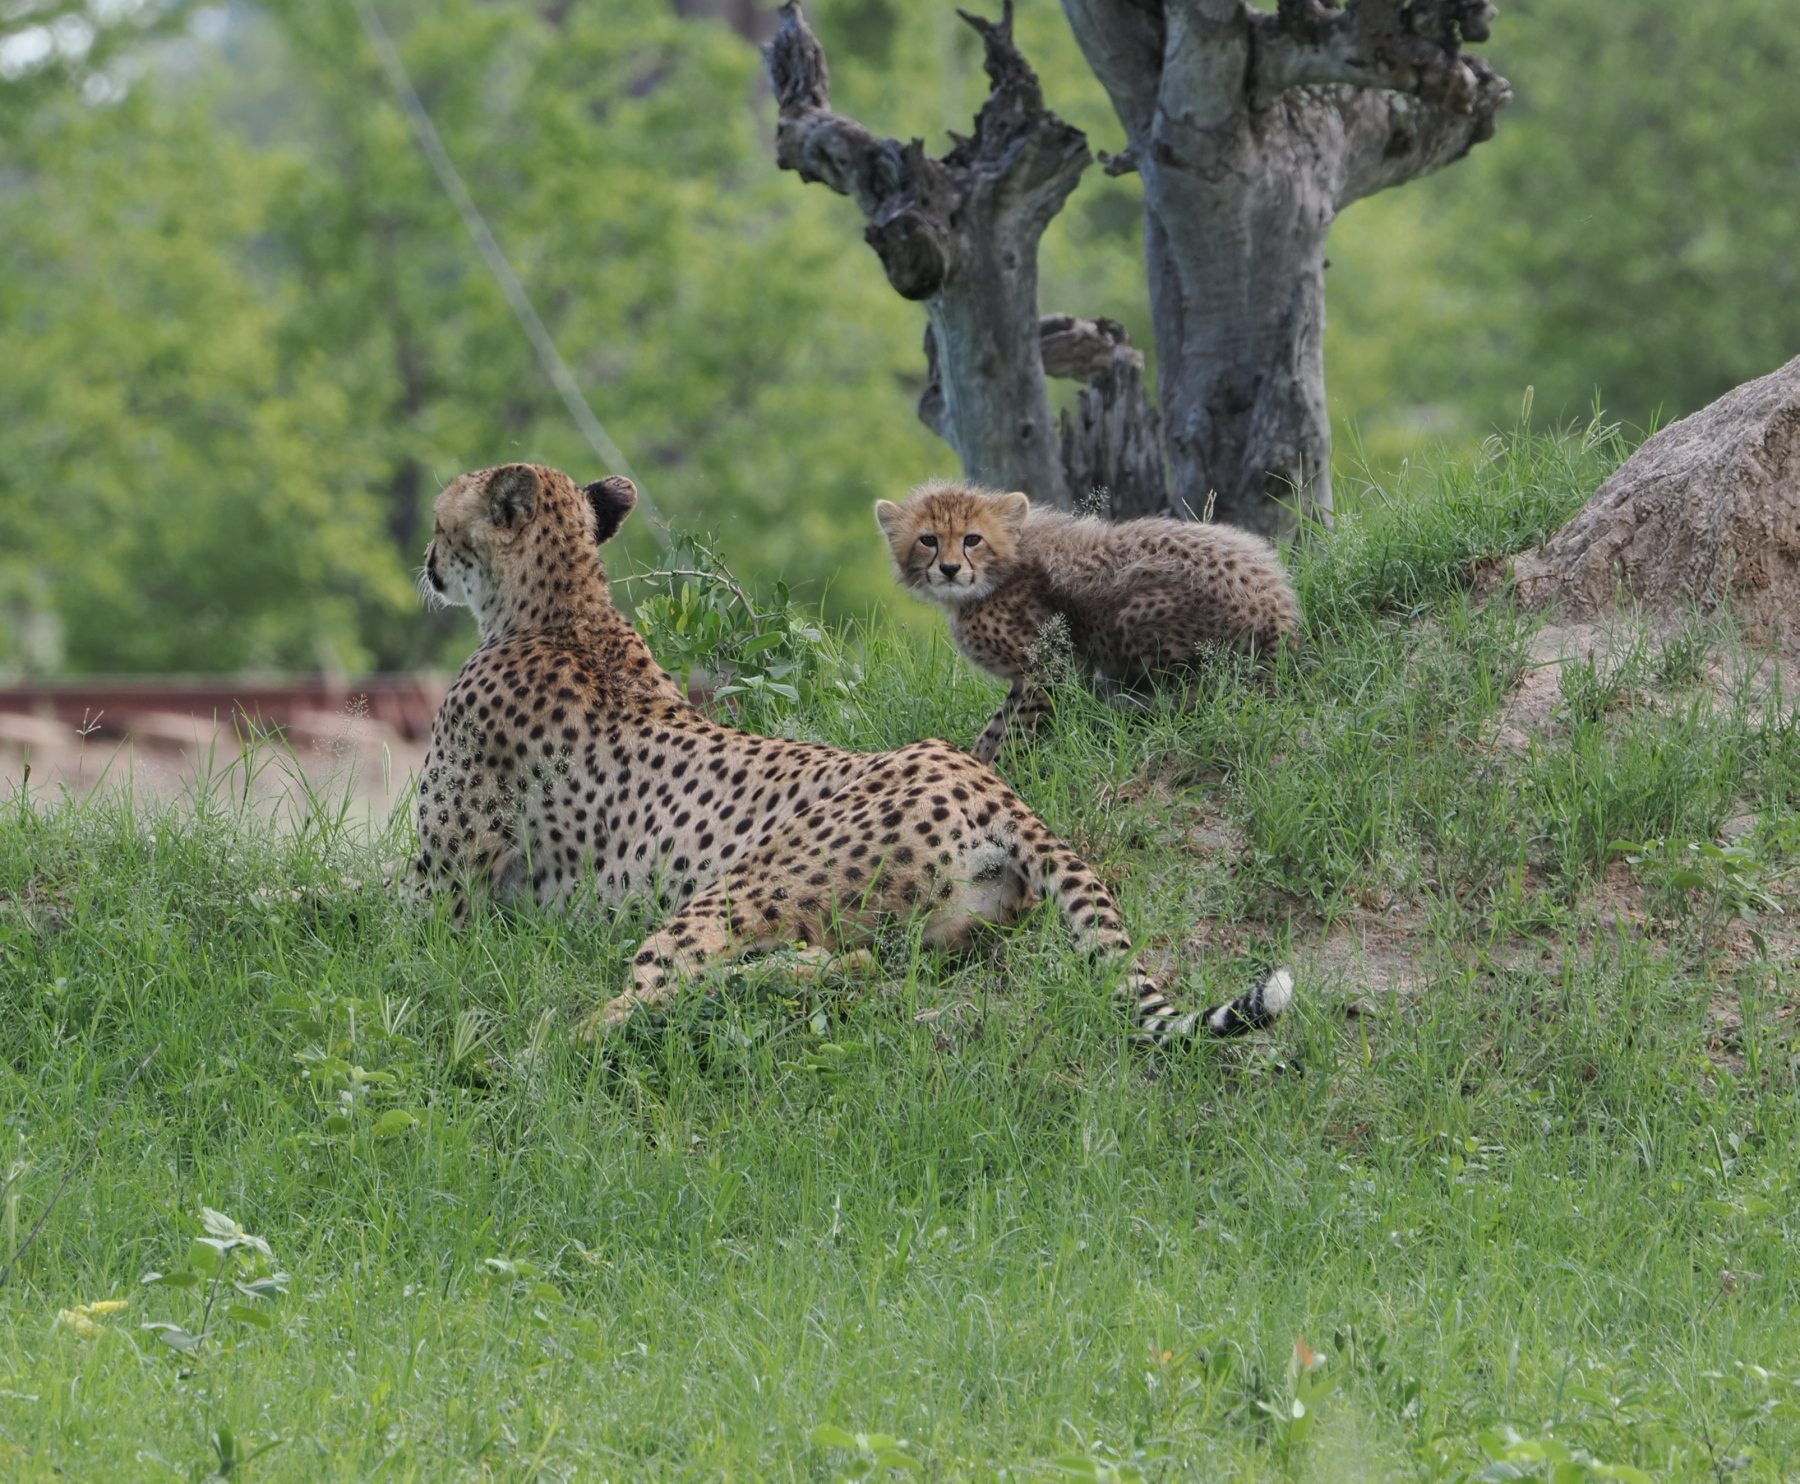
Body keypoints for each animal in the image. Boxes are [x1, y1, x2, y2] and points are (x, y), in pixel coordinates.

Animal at [876, 481, 1301, 762]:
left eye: (972, 539)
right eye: (928, 540)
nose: (949, 570)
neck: (999, 573)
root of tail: (1279, 608)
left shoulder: (1055, 666)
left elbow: (1015, 731)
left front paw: (1000, 773)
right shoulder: (1026, 678)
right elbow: (996, 727)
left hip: (1133, 616)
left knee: (1206, 690)